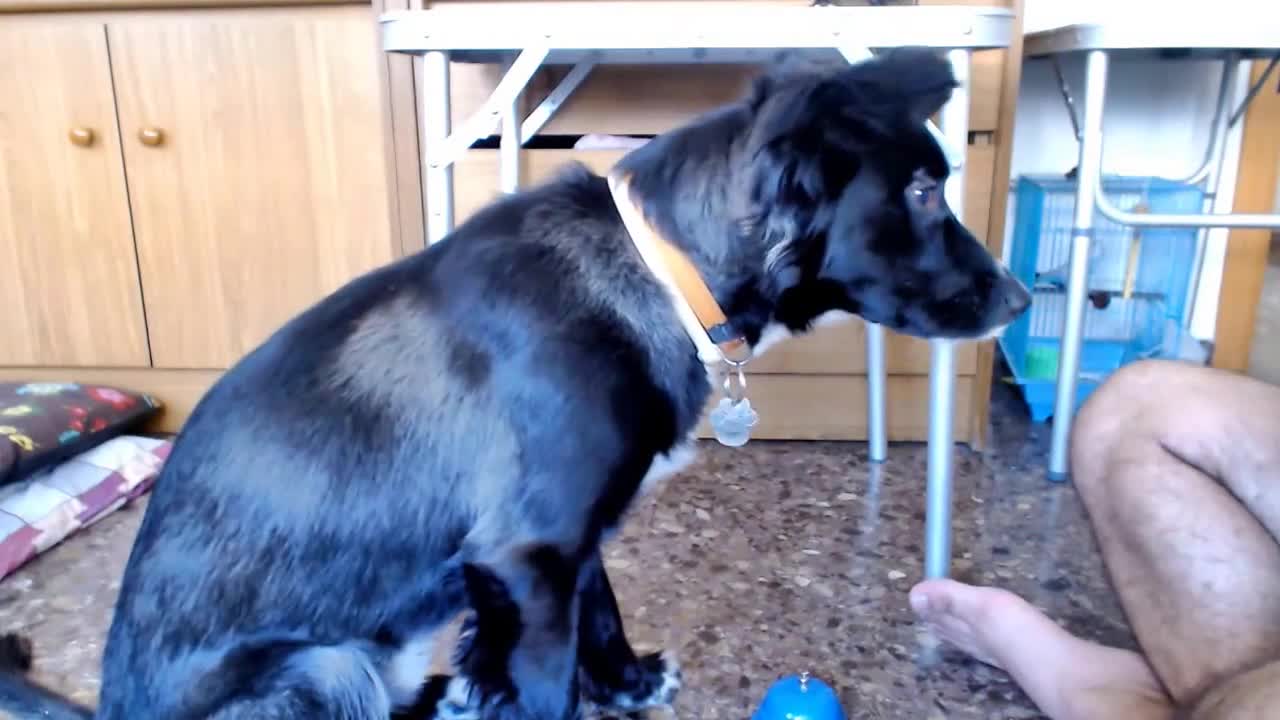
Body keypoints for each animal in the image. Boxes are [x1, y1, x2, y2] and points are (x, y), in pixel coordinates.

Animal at [0, 47, 1029, 712]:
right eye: (922, 193)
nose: (1022, 299)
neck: (660, 269)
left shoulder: (568, 541)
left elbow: (602, 616)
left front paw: (626, 683)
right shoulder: (530, 556)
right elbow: (546, 683)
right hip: (326, 669)